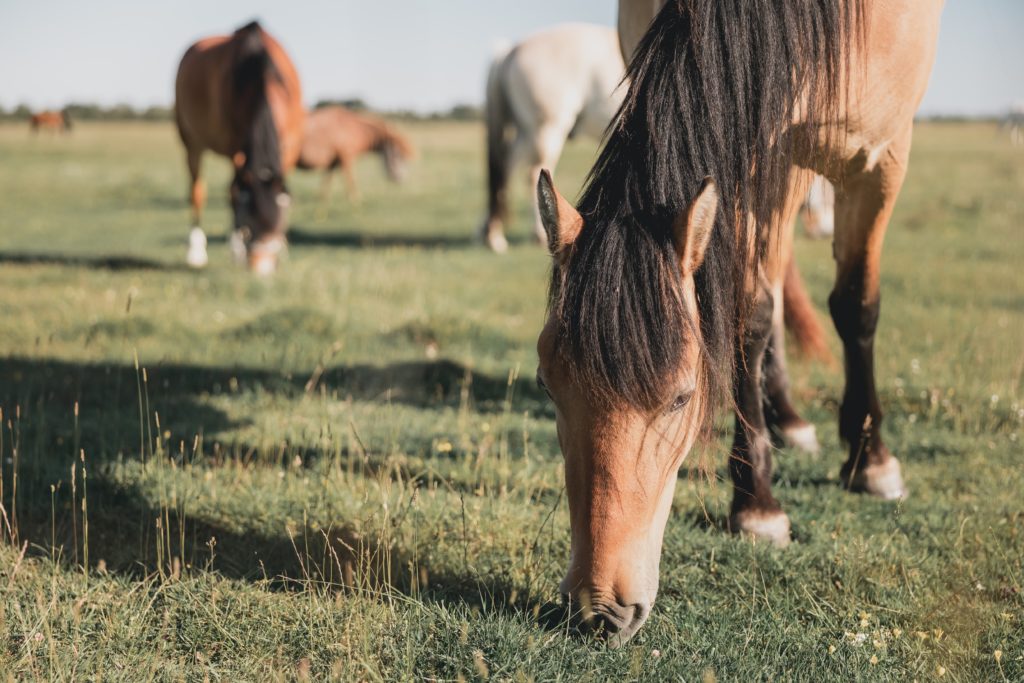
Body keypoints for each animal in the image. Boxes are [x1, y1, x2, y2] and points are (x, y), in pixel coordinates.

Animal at [174, 21, 303, 274]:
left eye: (279, 222)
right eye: (248, 226)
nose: (261, 268)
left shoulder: (290, 145)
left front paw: (283, 247)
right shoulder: (236, 146)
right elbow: (234, 192)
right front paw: (237, 251)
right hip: (191, 141)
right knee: (197, 191)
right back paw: (196, 251)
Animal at [477, 24, 622, 254]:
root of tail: (512, 50)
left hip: (527, 131)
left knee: (506, 168)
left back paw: (492, 234)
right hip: (546, 129)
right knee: (532, 173)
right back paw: (534, 234)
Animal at [536, 0, 942, 647]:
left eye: (682, 398)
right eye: (548, 387)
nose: (599, 611)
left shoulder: (880, 157)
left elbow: (856, 303)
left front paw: (869, 462)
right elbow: (749, 314)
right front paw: (757, 497)